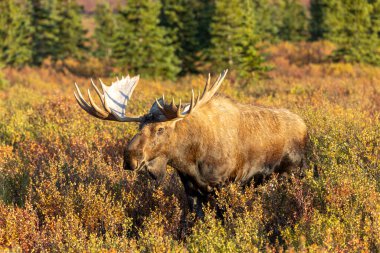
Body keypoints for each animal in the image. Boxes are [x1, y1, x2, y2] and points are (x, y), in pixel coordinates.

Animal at [75, 70, 308, 216]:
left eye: (160, 129)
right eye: (138, 127)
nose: (129, 158)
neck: (190, 159)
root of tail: (305, 127)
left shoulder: (225, 184)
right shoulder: (190, 187)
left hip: (292, 173)